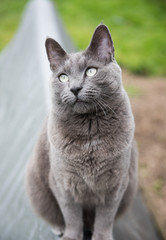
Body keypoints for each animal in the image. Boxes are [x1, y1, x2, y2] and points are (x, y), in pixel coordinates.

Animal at [25, 24, 137, 240]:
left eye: (91, 71)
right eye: (63, 77)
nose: (75, 88)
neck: (89, 132)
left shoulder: (117, 183)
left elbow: (105, 218)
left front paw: (102, 237)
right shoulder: (63, 182)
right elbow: (71, 215)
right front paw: (71, 236)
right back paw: (59, 228)